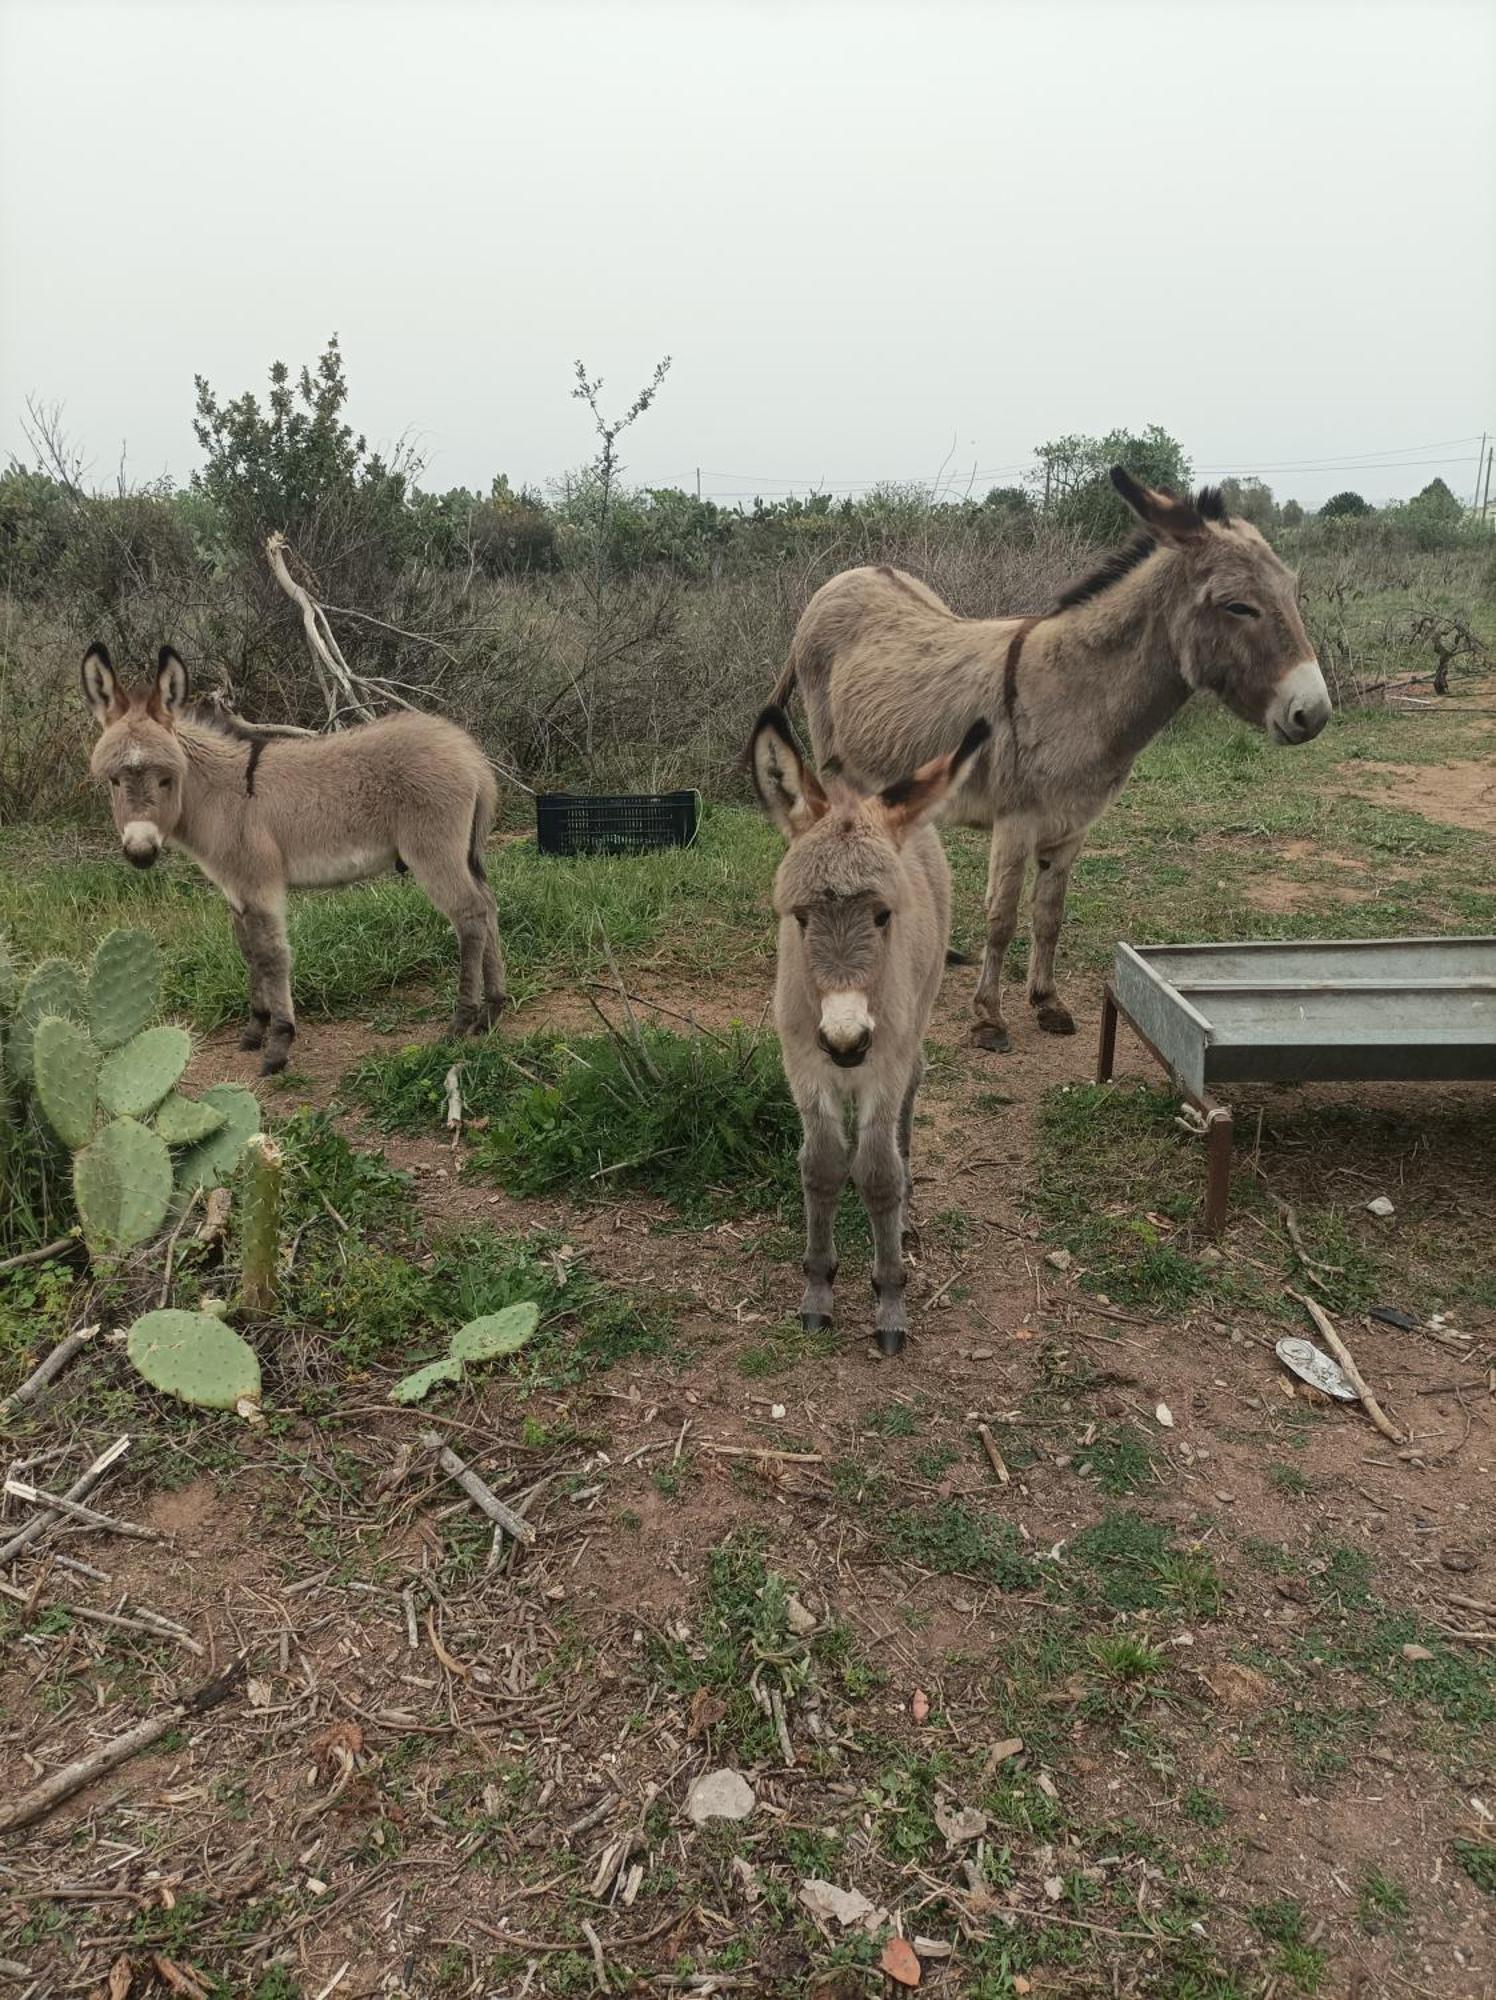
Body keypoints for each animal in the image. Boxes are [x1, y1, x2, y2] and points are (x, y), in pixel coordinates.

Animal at [83, 648, 508, 1072]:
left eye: (167, 778)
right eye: (114, 781)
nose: (140, 852)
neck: (223, 795)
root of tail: (468, 752)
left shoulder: (260, 883)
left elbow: (273, 954)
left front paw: (279, 1043)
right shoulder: (235, 889)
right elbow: (249, 952)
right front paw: (255, 1029)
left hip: (433, 851)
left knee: (469, 914)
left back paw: (461, 1021)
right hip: (464, 853)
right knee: (488, 906)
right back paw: (492, 1011)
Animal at [752, 708, 988, 1360]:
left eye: (883, 916)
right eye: (800, 917)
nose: (847, 1040)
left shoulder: (881, 1063)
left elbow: (880, 1173)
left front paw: (889, 1301)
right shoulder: (804, 1063)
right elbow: (822, 1166)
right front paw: (818, 1292)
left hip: (916, 1019)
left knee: (912, 1089)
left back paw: (903, 1218)